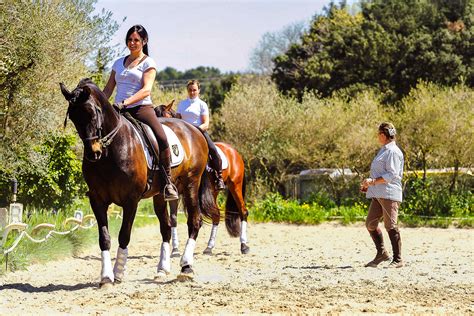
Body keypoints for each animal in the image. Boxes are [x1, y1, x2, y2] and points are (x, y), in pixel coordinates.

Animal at [59, 79, 218, 286]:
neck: (111, 152)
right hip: (160, 195)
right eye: (73, 117)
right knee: (166, 228)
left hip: (191, 184)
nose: (94, 153)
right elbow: (104, 237)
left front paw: (118, 273)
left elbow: (124, 235)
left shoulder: (130, 201)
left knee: (194, 222)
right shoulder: (97, 200)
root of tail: (193, 128)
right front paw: (106, 277)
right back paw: (162, 269)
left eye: (94, 113)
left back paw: (186, 266)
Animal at [156, 102, 252, 256]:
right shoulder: (174, 193)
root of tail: (234, 151)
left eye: (165, 117)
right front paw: (175, 250)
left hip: (235, 185)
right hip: (214, 191)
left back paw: (244, 246)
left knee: (242, 211)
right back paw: (209, 247)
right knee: (217, 215)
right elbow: (174, 219)